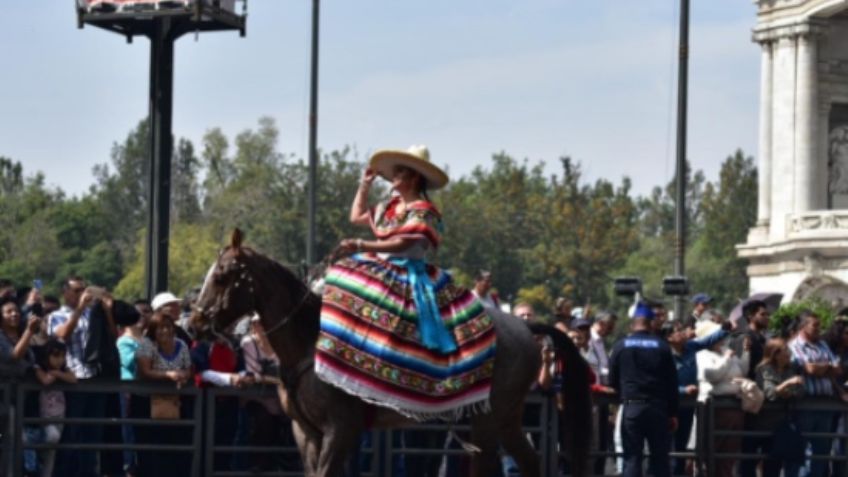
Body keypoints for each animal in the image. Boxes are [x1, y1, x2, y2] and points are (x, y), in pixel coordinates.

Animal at [193, 229, 592, 474]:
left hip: (488, 420)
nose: (195, 322)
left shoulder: (341, 429)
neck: (307, 343)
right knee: (529, 463)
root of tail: (526, 328)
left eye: (223, 276)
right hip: (505, 419)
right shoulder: (304, 431)